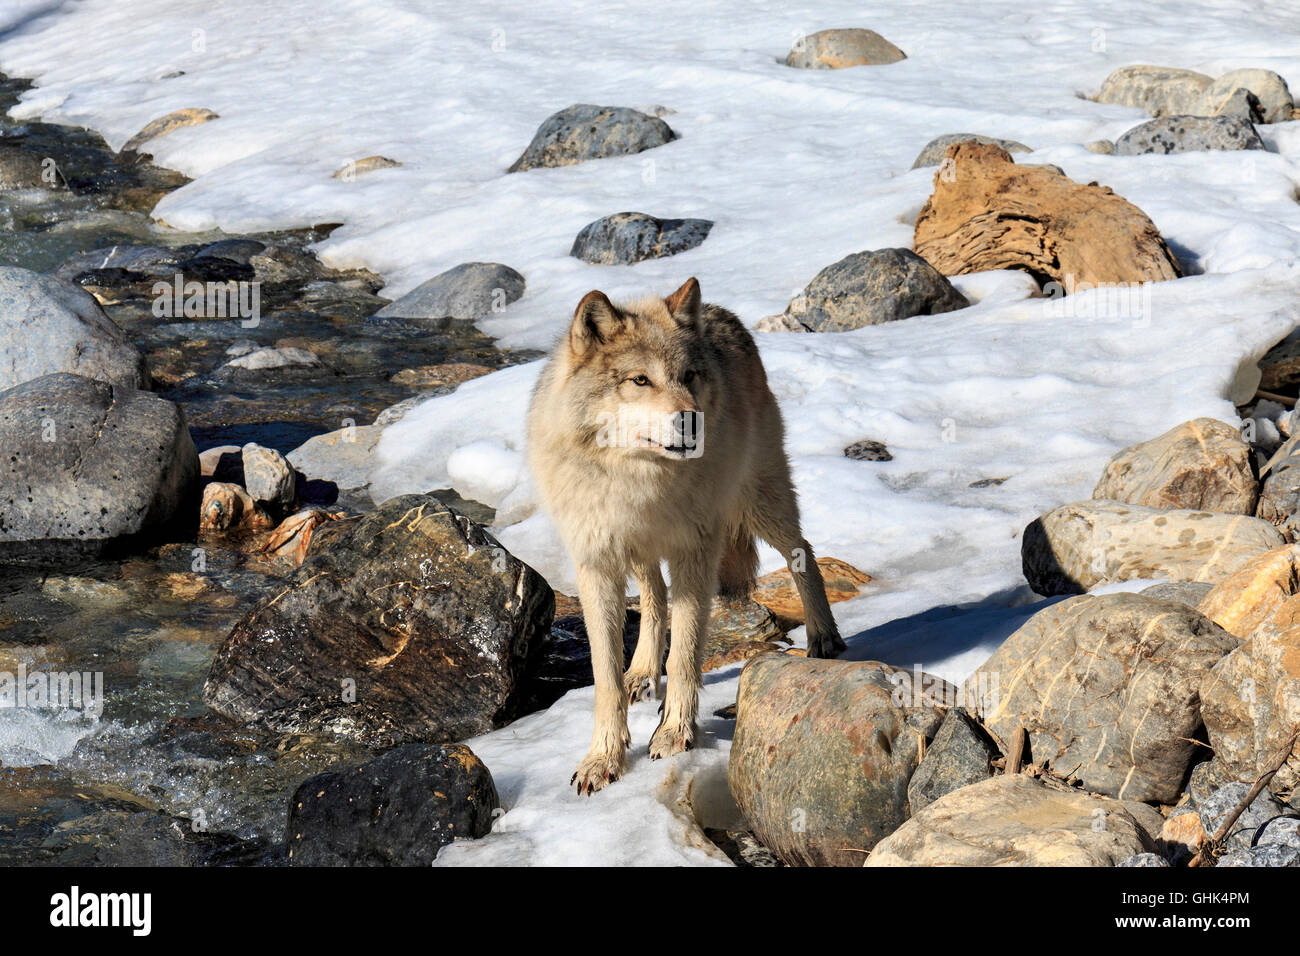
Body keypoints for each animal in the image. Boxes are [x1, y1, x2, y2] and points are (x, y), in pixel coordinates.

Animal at [522, 274, 847, 790]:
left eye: (689, 375)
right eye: (640, 380)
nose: (692, 420)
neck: (639, 480)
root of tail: (718, 311)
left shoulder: (696, 551)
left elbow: (686, 652)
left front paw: (674, 733)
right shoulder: (597, 563)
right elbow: (605, 674)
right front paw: (603, 757)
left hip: (759, 502)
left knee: (804, 551)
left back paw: (824, 637)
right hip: (644, 552)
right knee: (654, 598)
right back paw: (640, 673)